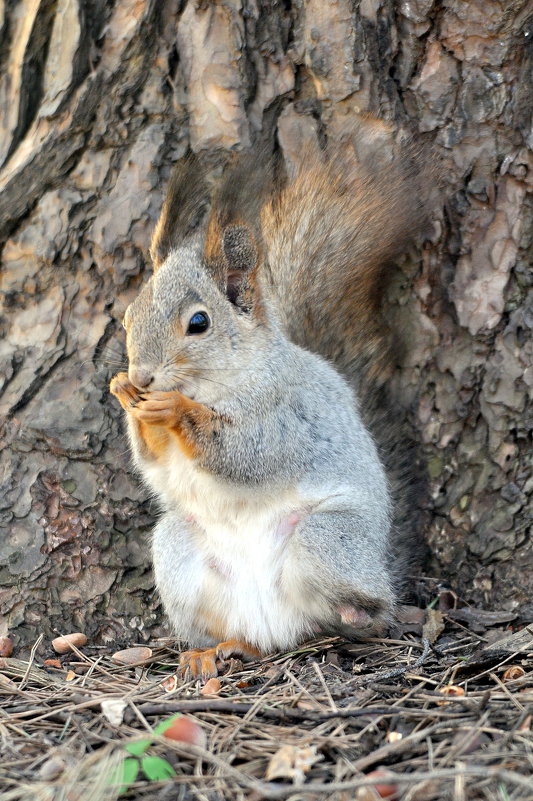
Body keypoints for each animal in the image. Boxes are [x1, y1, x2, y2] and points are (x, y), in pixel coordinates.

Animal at [110, 117, 430, 676]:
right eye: (129, 315)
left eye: (199, 323)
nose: (143, 376)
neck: (221, 378)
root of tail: (276, 624)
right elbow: (155, 463)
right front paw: (125, 394)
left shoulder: (284, 412)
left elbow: (245, 453)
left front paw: (174, 410)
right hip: (178, 551)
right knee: (248, 633)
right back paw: (219, 650)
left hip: (327, 538)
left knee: (364, 610)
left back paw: (359, 615)